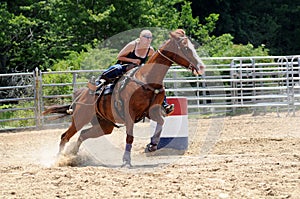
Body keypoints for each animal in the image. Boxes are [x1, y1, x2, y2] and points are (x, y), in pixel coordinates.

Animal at [42, 29, 206, 166]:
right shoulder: (130, 115)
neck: (147, 79)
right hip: (80, 117)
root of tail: (81, 94)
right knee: (65, 136)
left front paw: (151, 146)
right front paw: (126, 161)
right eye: (185, 48)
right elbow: (130, 137)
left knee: (82, 135)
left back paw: (73, 155)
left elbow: (161, 123)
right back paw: (58, 160)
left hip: (104, 125)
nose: (201, 67)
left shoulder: (152, 112)